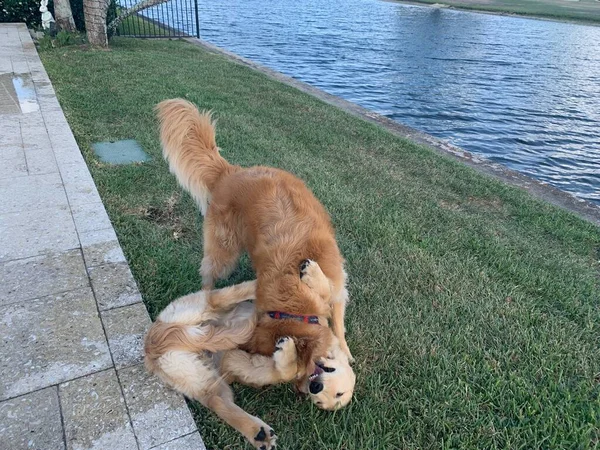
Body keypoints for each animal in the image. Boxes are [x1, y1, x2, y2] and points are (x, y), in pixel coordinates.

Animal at [155, 98, 354, 394]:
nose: (307, 385)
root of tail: (230, 172)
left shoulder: (337, 278)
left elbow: (336, 312)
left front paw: (344, 349)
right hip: (224, 251)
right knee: (208, 274)